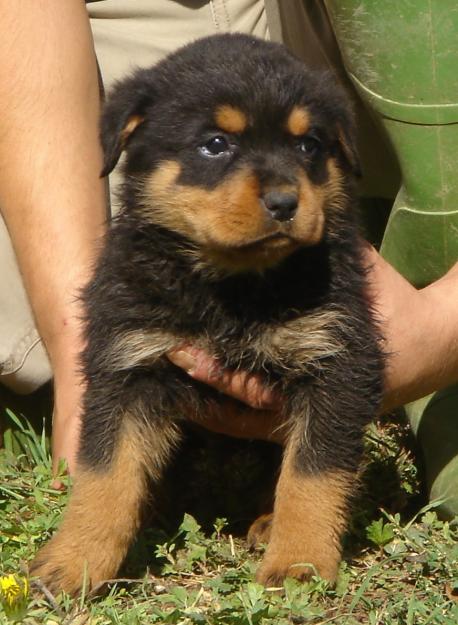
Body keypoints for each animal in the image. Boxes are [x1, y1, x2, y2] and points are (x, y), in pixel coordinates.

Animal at [31, 33, 382, 596]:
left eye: (308, 146)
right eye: (215, 144)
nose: (285, 202)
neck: (231, 288)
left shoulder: (338, 360)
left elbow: (312, 473)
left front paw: (299, 562)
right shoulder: (128, 361)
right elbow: (104, 474)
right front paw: (74, 560)